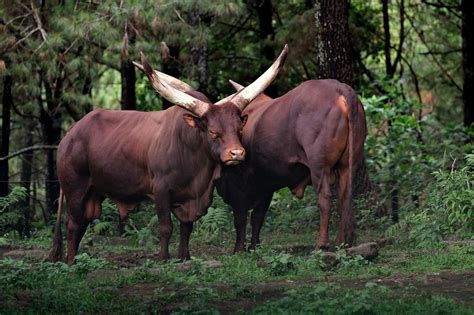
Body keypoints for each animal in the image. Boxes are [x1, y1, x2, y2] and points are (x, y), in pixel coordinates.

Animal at [48, 45, 286, 266]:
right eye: (212, 132)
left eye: (239, 128)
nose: (236, 153)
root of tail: (70, 134)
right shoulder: (161, 190)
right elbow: (166, 227)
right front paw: (163, 258)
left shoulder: (190, 198)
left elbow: (186, 228)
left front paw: (184, 257)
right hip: (75, 188)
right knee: (73, 225)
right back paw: (71, 263)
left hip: (92, 193)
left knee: (82, 224)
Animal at [215, 80, 366, 253]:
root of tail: (340, 88)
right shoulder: (265, 185)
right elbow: (257, 217)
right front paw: (254, 246)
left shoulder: (239, 186)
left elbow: (241, 218)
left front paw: (238, 249)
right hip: (347, 165)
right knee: (345, 197)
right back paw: (344, 242)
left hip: (320, 166)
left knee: (325, 198)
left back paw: (321, 244)